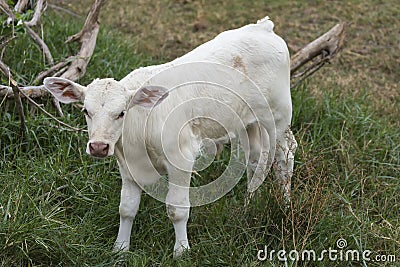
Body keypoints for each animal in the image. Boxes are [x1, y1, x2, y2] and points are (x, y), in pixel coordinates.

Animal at [43, 16, 296, 258]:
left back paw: (285, 205)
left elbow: (177, 210)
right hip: (248, 123)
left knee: (285, 156)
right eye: (86, 111)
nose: (98, 146)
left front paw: (181, 251)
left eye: (121, 113)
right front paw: (120, 249)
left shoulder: (181, 158)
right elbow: (126, 208)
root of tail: (263, 27)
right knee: (256, 159)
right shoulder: (127, 166)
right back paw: (249, 203)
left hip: (278, 117)